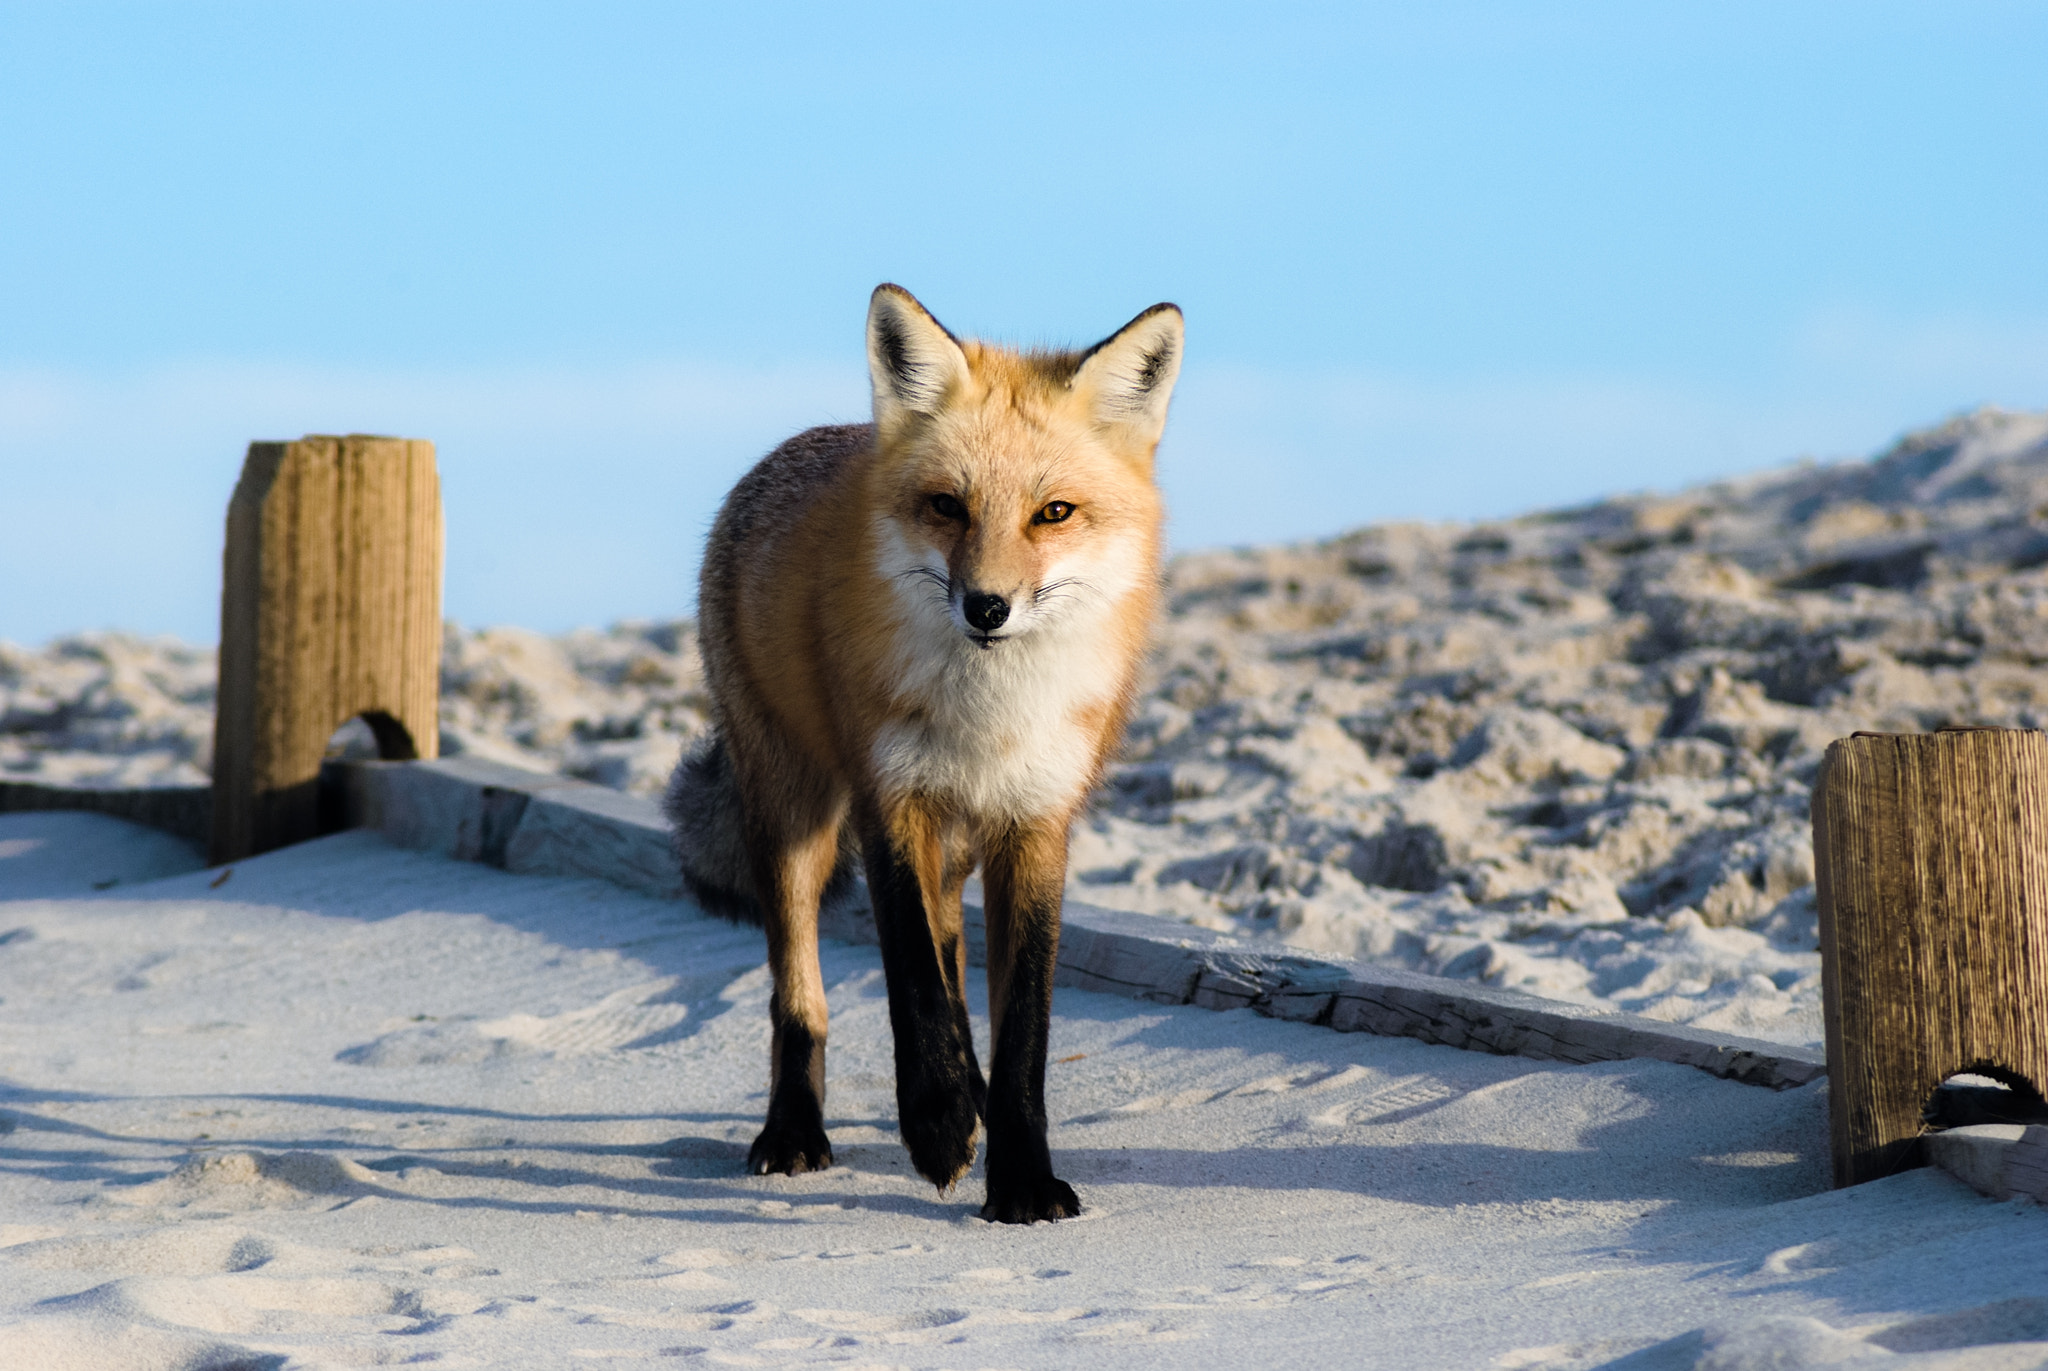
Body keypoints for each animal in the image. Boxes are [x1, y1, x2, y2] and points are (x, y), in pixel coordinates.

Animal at [664, 283, 1182, 1223]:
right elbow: (911, 982)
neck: (988, 714)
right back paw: (794, 1130)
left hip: (954, 842)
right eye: (948, 505)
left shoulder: (1036, 821)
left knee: (954, 966)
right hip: (795, 816)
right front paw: (937, 1125)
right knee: (800, 997)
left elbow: (1021, 1031)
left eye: (1053, 513)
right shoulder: (889, 802)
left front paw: (1019, 1176)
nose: (987, 607)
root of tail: (805, 442)